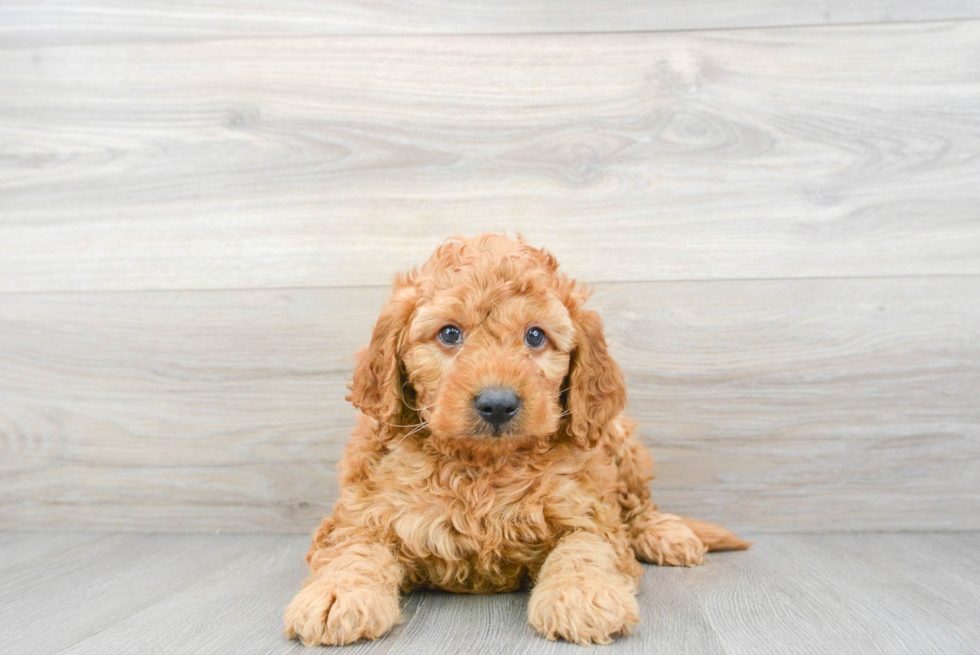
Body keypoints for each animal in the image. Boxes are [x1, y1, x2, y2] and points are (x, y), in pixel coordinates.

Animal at [284, 234, 752, 644]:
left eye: (535, 336)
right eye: (450, 334)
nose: (497, 404)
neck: (484, 467)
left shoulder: (588, 511)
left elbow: (586, 547)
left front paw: (582, 594)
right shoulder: (359, 514)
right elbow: (352, 550)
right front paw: (338, 595)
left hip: (618, 439)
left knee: (639, 506)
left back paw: (665, 534)